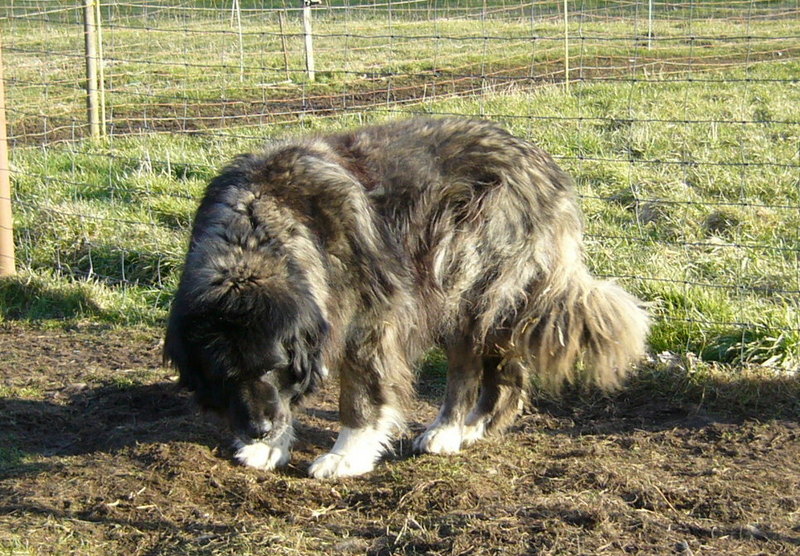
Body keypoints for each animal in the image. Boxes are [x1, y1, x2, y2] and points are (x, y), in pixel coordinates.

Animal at [163, 117, 649, 479]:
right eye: (224, 373)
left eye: (273, 365)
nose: (259, 429)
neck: (256, 233)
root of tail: (541, 162)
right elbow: (287, 398)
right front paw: (272, 445)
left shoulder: (370, 321)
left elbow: (359, 397)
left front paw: (346, 455)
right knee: (504, 372)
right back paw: (476, 427)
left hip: (466, 286)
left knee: (468, 372)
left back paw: (448, 431)